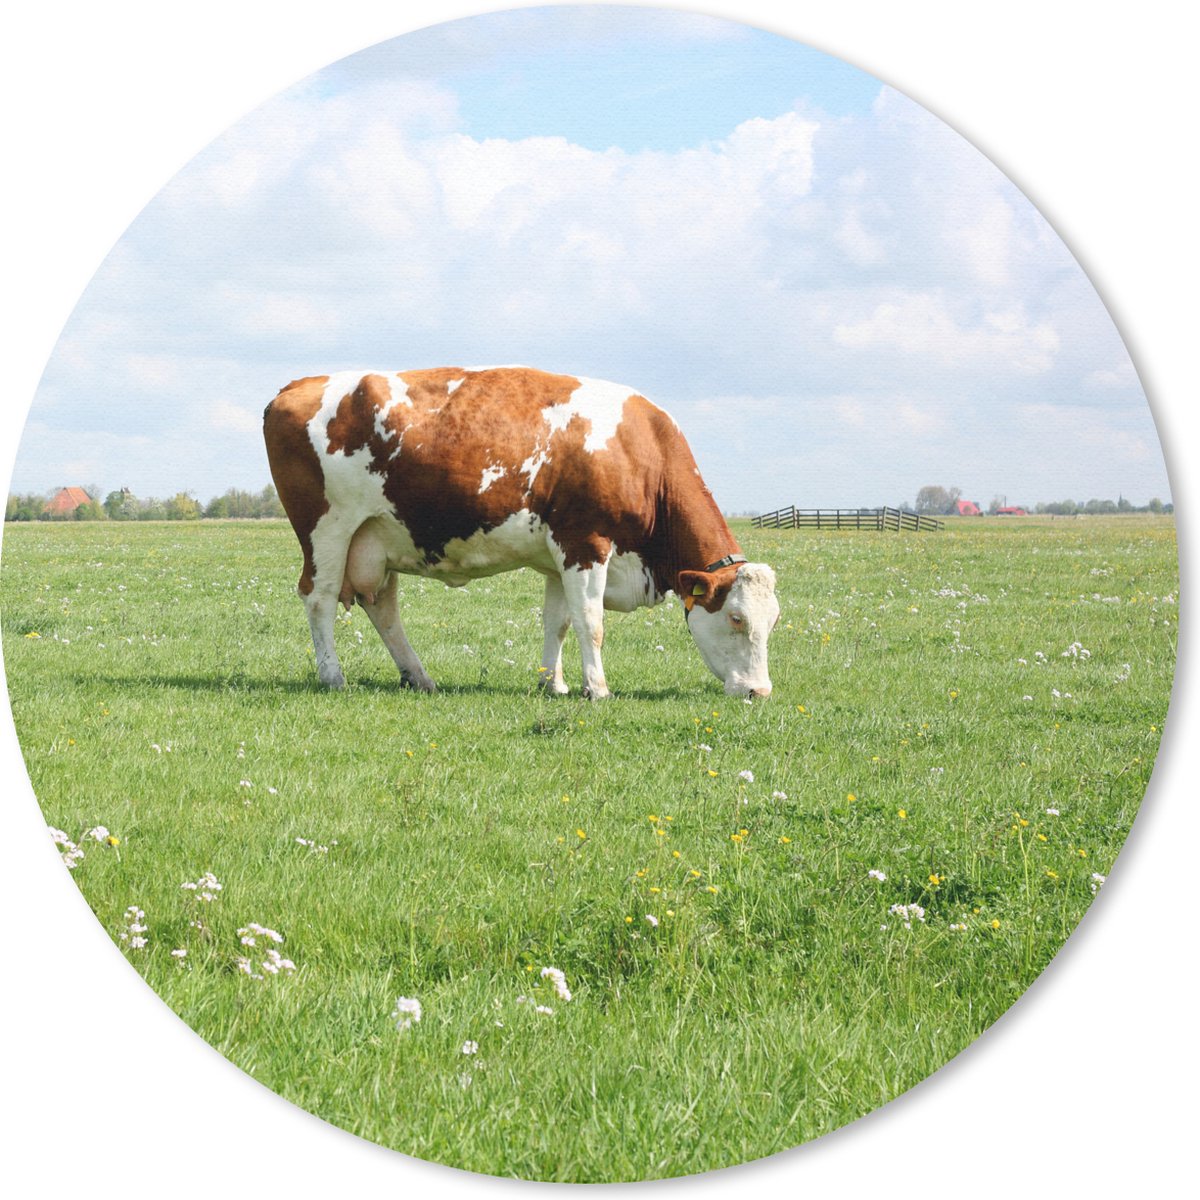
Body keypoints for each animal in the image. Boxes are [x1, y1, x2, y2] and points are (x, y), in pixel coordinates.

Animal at [263, 366, 780, 699]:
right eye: (737, 618)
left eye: (772, 620)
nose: (760, 691)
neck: (640, 452)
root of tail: (295, 387)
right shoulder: (585, 543)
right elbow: (591, 622)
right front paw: (598, 688)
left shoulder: (560, 558)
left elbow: (559, 621)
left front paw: (554, 683)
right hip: (328, 531)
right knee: (320, 598)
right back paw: (334, 677)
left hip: (377, 538)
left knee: (383, 608)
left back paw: (418, 676)